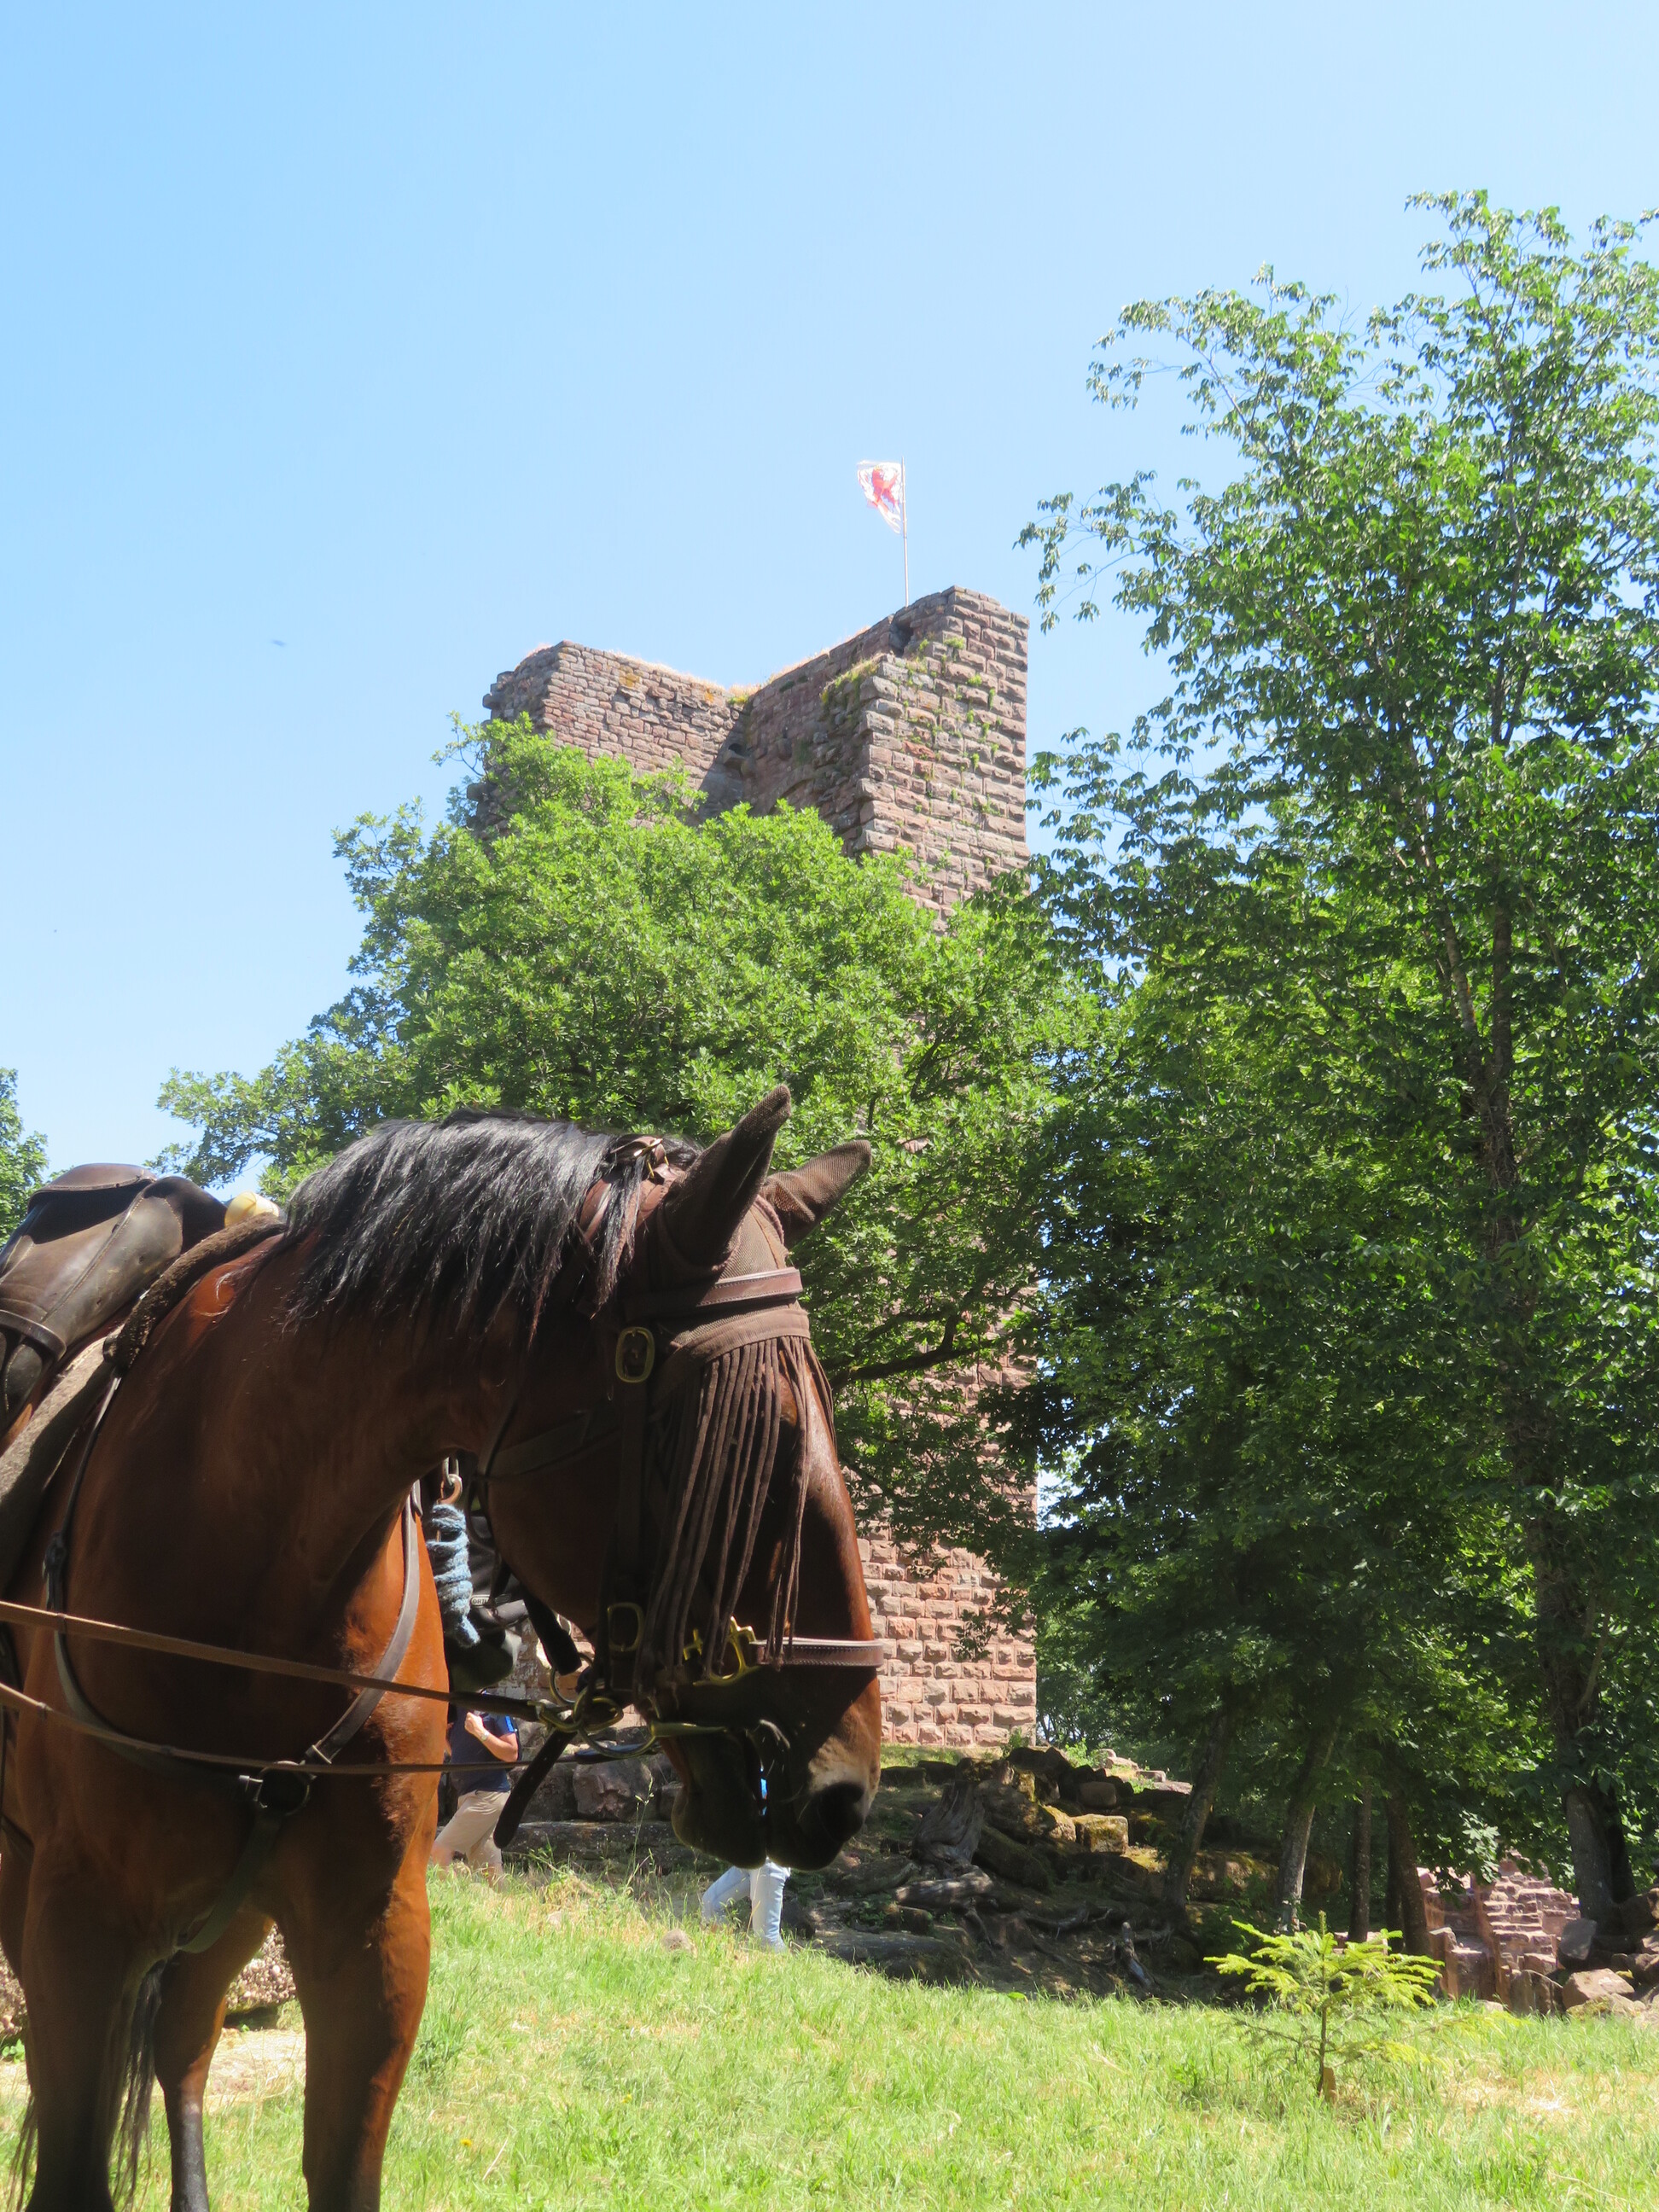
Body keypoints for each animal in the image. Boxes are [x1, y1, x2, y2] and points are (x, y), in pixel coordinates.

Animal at [0, 1084, 881, 2211]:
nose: (846, 1783)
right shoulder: (78, 1931)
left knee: (184, 2050)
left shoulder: (373, 1933)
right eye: (748, 1436)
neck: (251, 1566)